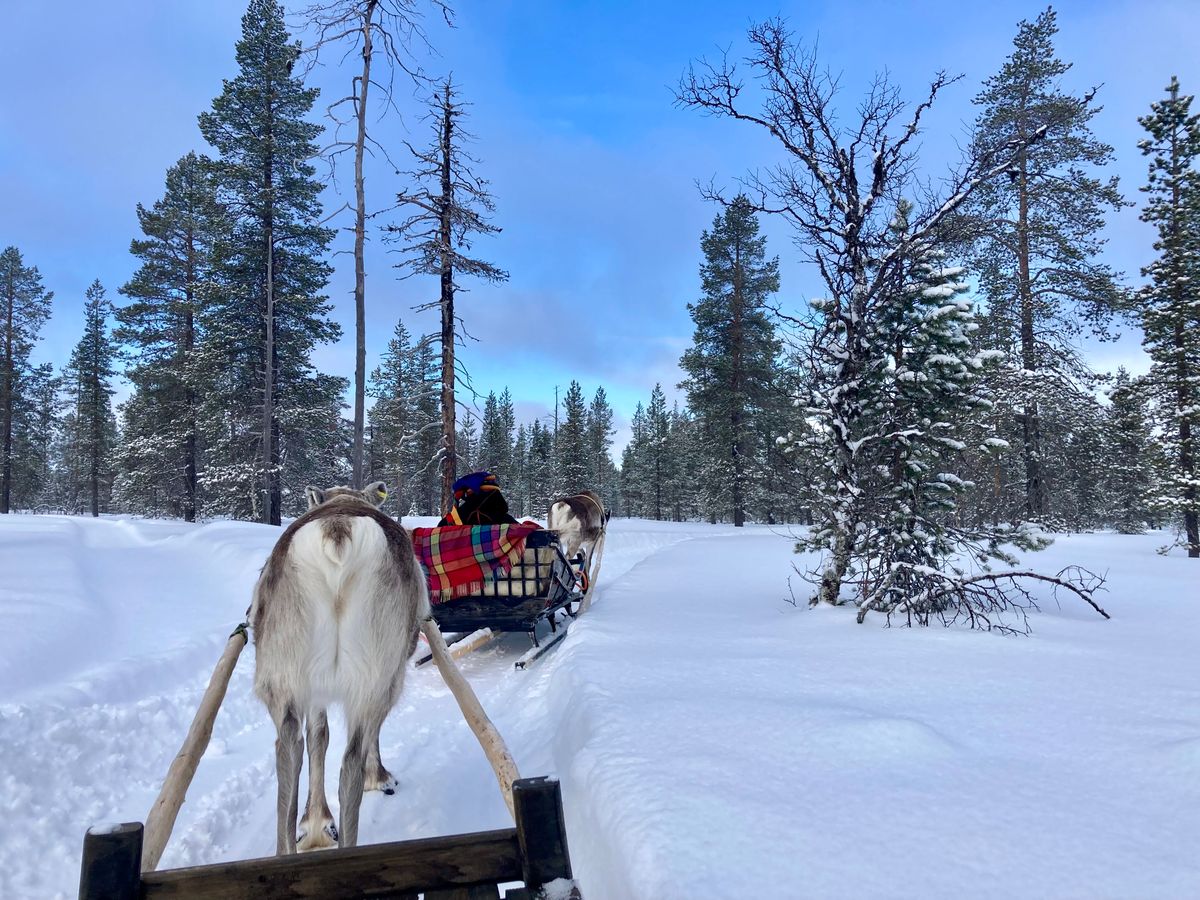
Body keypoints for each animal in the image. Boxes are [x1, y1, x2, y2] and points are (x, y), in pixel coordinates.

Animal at [249, 481, 428, 854]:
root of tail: (338, 531)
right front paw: (380, 778)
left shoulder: (314, 691)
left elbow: (319, 737)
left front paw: (315, 825)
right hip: (376, 677)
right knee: (351, 764)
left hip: (282, 676)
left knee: (289, 749)